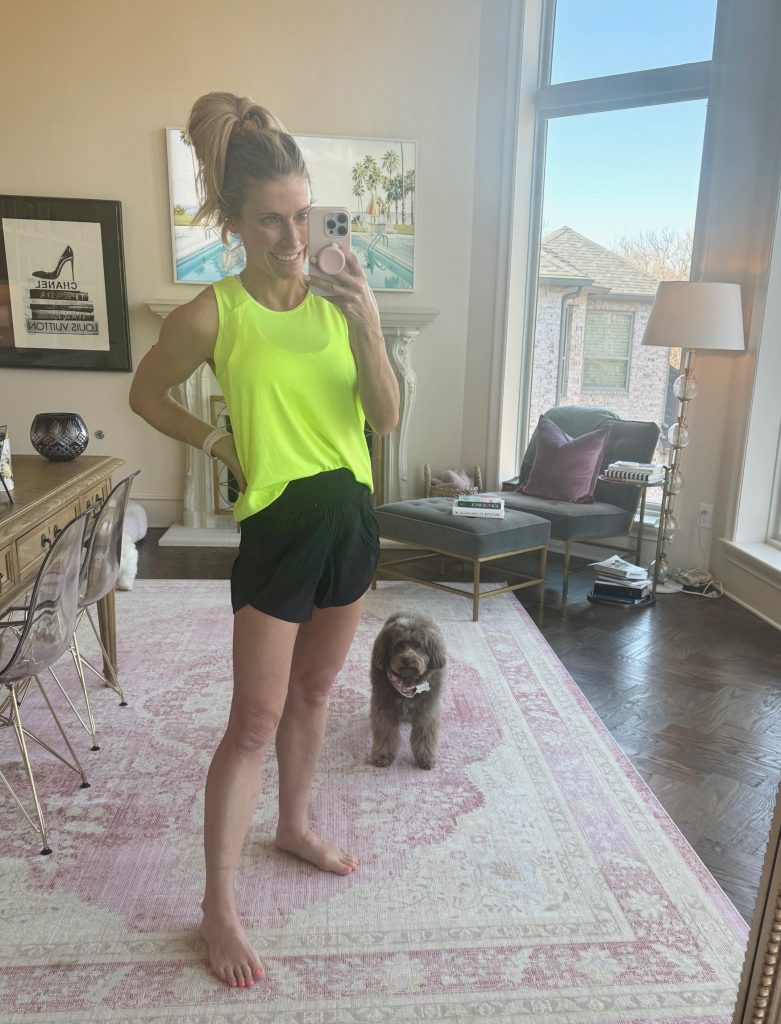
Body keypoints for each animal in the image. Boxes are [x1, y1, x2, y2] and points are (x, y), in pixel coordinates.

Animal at [369, 612, 447, 770]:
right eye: (399, 645)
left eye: (419, 646)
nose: (407, 659)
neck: (407, 683)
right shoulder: (384, 711)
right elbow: (385, 734)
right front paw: (382, 756)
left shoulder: (427, 713)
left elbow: (425, 737)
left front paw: (426, 758)